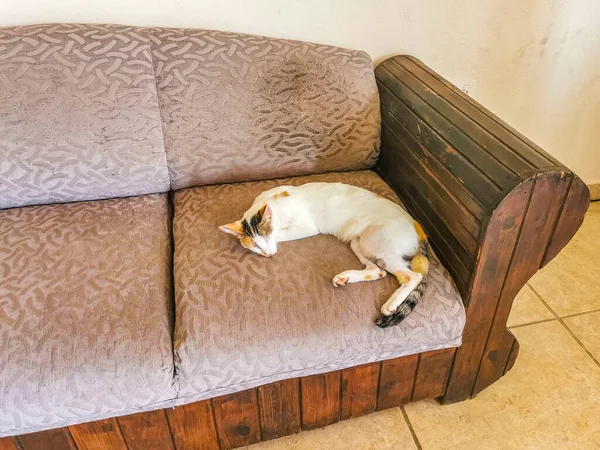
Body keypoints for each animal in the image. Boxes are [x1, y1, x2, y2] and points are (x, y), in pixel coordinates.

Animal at [218, 182, 428, 326]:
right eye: (255, 245)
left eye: (267, 236)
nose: (268, 254)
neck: (269, 203)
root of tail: (417, 226)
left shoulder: (306, 225)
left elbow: (283, 233)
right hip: (358, 243)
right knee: (378, 271)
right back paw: (345, 278)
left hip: (376, 242)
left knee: (413, 276)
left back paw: (392, 304)